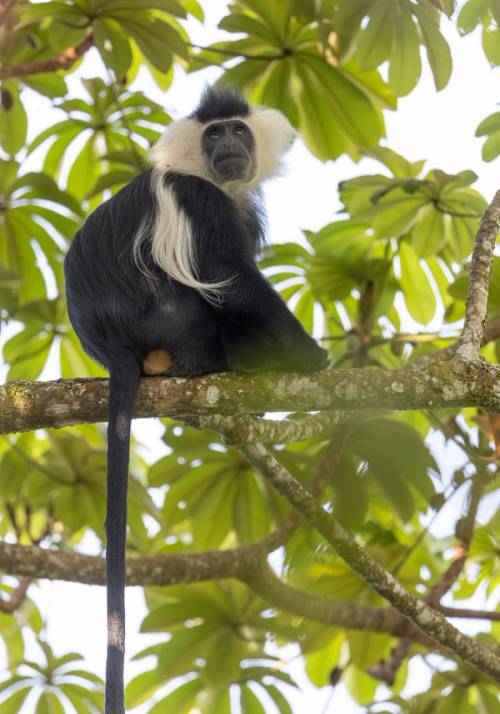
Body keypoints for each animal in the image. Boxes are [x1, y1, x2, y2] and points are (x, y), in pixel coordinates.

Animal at [64, 86, 330, 708]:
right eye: (213, 134)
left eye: (237, 130)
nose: (228, 143)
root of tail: (111, 345)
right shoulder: (197, 199)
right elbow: (232, 279)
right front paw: (309, 357)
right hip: (168, 317)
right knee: (208, 297)